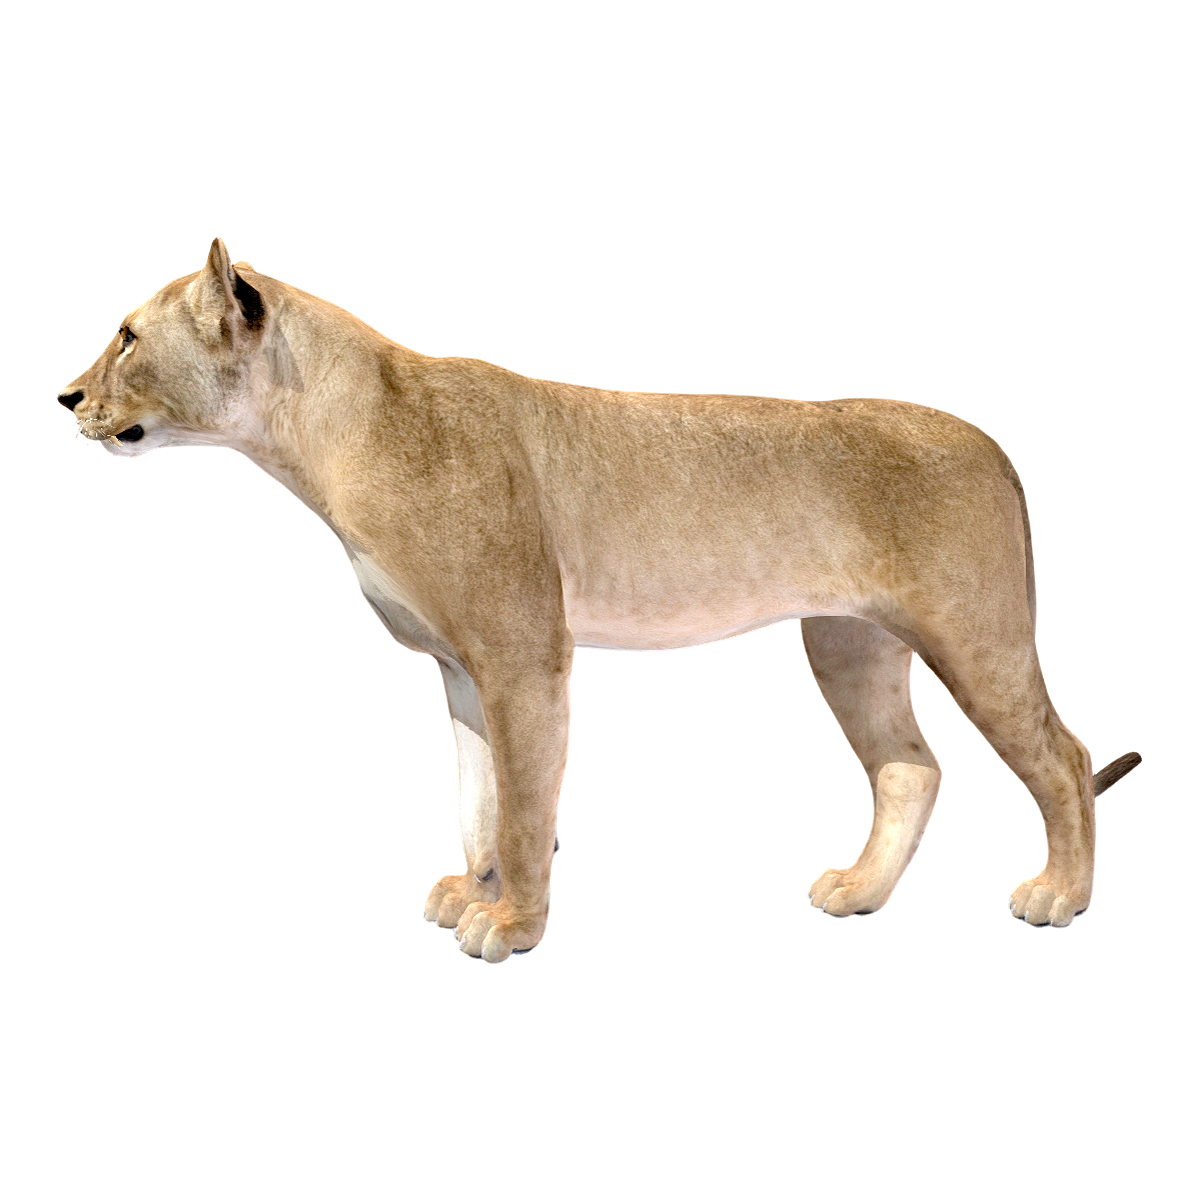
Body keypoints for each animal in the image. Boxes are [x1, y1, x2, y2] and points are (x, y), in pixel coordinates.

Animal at [62, 238, 1141, 962]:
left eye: (126, 336)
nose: (67, 401)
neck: (316, 436)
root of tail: (983, 436)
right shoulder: (462, 670)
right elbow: (479, 801)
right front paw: (465, 901)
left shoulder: (521, 654)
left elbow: (523, 810)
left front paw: (508, 925)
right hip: (850, 644)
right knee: (911, 768)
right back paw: (859, 894)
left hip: (974, 637)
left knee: (1059, 757)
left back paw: (1059, 898)